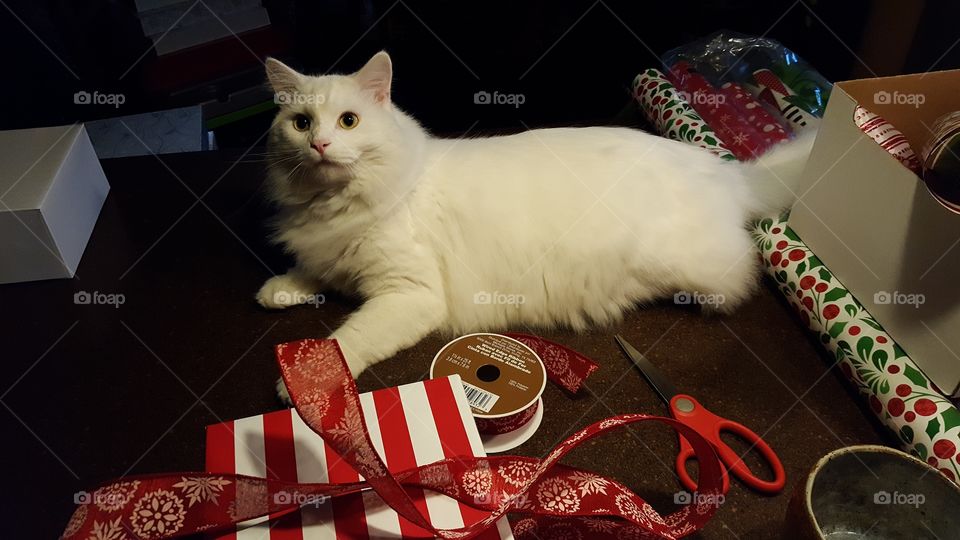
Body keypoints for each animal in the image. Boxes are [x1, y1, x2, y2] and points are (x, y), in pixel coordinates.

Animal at [258, 51, 812, 400]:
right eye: (301, 123)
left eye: (348, 121)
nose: (320, 145)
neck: (335, 207)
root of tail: (725, 169)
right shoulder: (329, 252)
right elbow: (312, 272)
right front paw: (279, 289)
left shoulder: (409, 293)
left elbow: (345, 340)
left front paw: (301, 383)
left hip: (693, 268)